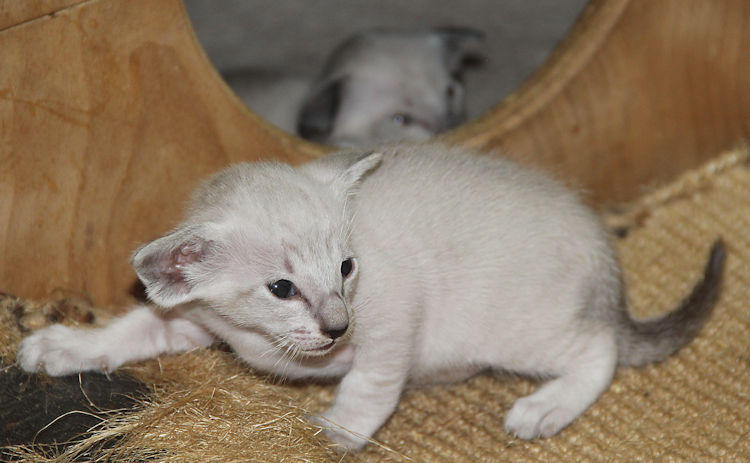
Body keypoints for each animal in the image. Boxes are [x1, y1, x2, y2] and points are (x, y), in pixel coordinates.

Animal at [17, 143, 724, 452]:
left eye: (347, 267)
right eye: (281, 289)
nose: (336, 327)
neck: (264, 340)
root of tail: (602, 246)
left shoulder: (392, 323)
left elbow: (371, 384)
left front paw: (337, 431)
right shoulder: (195, 319)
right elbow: (127, 332)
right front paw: (60, 347)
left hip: (521, 331)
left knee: (601, 347)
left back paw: (543, 409)